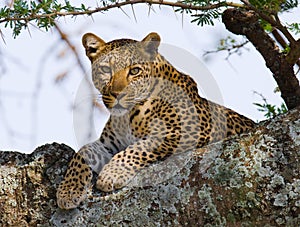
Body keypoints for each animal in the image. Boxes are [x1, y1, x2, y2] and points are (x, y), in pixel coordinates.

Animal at [56, 31, 255, 209]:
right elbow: (83, 152)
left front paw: (111, 174)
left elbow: (138, 147)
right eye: (106, 69)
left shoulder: (186, 131)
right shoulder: (109, 144)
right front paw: (69, 191)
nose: (118, 94)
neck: (126, 117)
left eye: (135, 71)